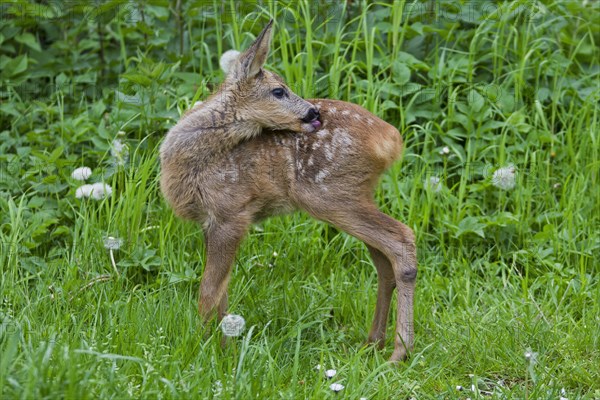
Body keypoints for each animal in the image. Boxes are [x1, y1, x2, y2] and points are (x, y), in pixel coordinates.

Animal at [159, 19, 418, 362]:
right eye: (278, 90)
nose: (313, 113)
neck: (194, 158)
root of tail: (390, 139)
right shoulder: (211, 220)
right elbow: (221, 292)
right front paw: (225, 346)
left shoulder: (232, 212)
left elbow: (209, 292)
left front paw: (205, 351)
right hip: (357, 194)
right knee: (383, 261)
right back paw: (373, 343)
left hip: (331, 194)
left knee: (401, 240)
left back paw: (399, 352)